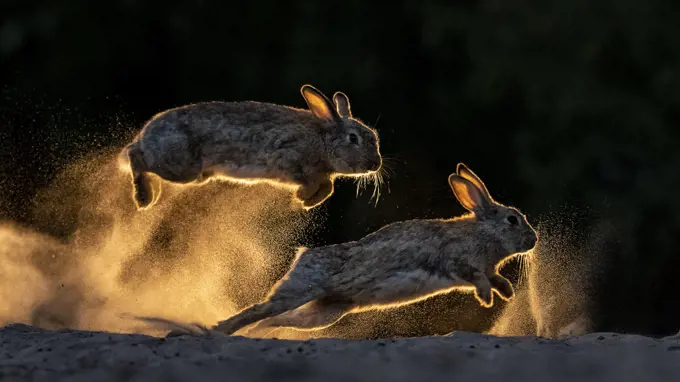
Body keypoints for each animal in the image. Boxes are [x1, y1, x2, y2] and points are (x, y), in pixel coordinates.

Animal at [119, 84, 380, 209]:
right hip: (182, 167)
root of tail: (145, 134)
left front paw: (305, 203)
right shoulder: (290, 159)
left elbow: (328, 188)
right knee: (136, 156)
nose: (376, 164)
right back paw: (143, 198)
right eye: (353, 139)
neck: (323, 141)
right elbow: (317, 184)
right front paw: (301, 198)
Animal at [211, 164, 536, 334]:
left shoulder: (487, 268)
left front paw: (507, 293)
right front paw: (487, 299)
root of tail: (302, 256)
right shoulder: (459, 261)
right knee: (260, 309)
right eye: (512, 219)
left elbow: (494, 278)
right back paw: (221, 330)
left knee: (280, 319)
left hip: (327, 311)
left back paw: (259, 333)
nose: (533, 240)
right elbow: (477, 278)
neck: (482, 232)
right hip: (300, 290)